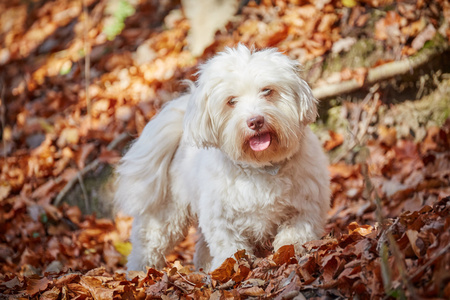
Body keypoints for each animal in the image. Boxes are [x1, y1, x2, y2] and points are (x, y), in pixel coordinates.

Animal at [116, 44, 330, 272]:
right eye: (231, 101)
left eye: (267, 91)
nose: (255, 121)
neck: (261, 166)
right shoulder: (221, 219)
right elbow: (229, 247)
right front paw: (231, 269)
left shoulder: (306, 206)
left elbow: (295, 234)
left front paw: (289, 254)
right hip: (164, 218)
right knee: (148, 247)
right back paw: (138, 273)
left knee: (201, 249)